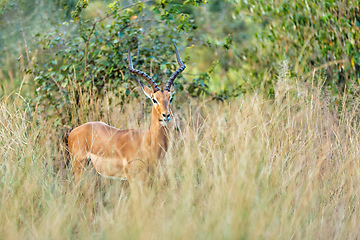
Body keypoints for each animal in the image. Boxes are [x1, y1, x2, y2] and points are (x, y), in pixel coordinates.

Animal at [67, 43, 186, 182]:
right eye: (154, 99)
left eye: (170, 98)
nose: (166, 115)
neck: (147, 141)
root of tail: (74, 131)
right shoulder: (133, 179)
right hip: (79, 167)